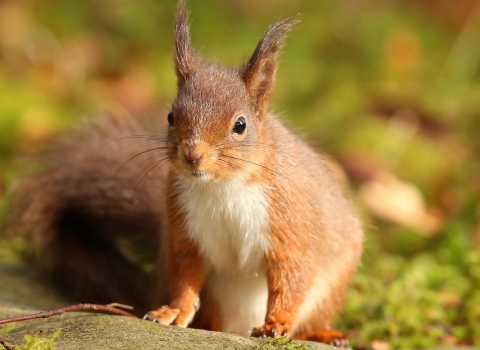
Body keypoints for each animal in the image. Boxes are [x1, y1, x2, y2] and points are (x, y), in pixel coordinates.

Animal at [4, 0, 364, 344]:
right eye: (171, 117)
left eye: (240, 125)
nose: (192, 155)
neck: (223, 186)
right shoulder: (184, 227)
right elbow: (186, 273)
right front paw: (174, 311)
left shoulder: (289, 220)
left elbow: (291, 274)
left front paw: (277, 322)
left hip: (332, 285)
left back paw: (325, 334)